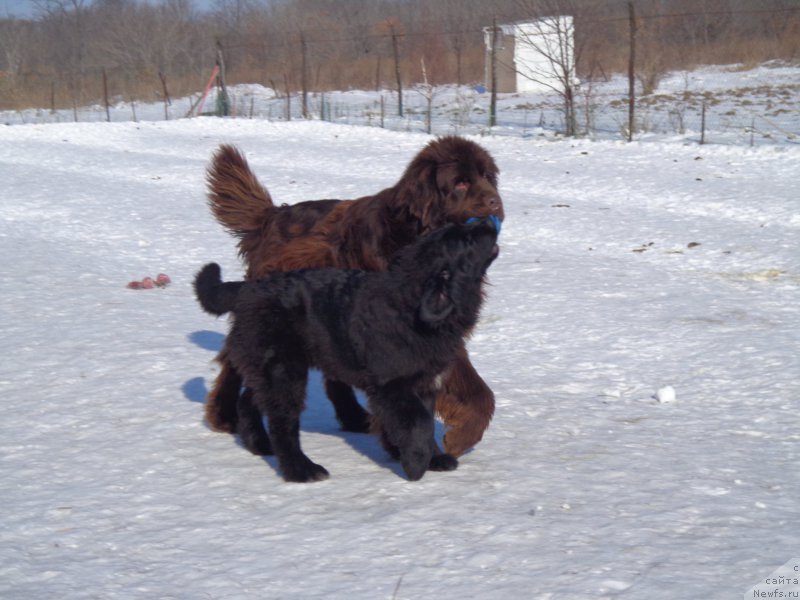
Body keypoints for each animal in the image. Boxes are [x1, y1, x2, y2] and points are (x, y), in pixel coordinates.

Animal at [195, 220, 496, 482]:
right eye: (466, 240)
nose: (488, 223)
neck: (412, 309)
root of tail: (248, 289)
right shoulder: (393, 386)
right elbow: (418, 423)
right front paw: (416, 464)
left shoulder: (426, 383)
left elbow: (424, 422)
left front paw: (432, 458)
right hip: (283, 369)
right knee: (283, 423)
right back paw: (302, 470)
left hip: (269, 366)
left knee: (250, 400)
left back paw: (260, 444)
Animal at [206, 135, 506, 454]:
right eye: (461, 183)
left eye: (487, 177)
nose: (495, 202)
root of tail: (273, 216)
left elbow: (475, 390)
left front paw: (460, 437)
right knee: (233, 358)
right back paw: (223, 414)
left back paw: (352, 417)